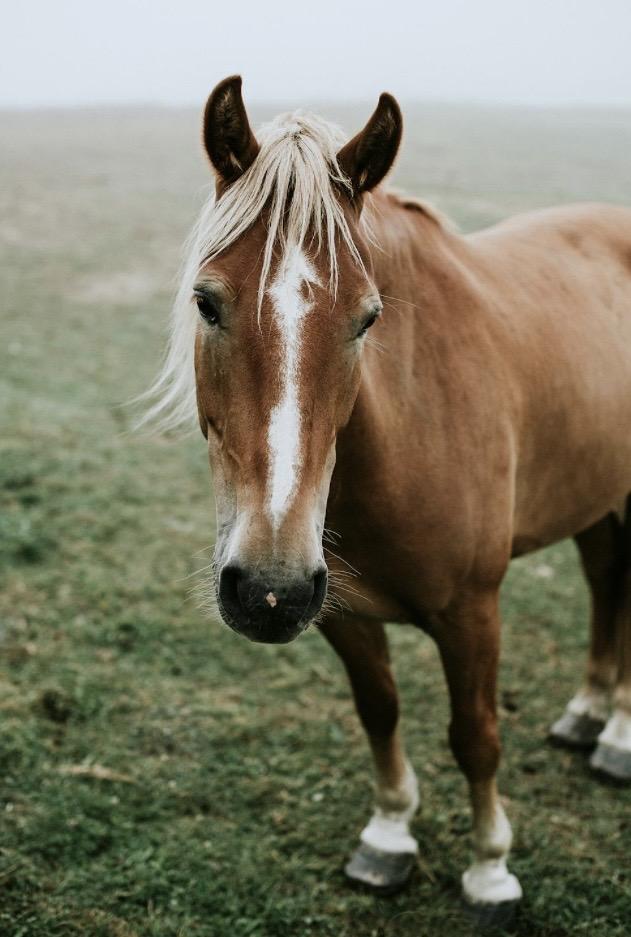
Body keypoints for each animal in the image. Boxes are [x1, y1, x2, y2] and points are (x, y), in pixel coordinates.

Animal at [146, 75, 631, 919]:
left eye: (367, 317)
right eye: (206, 301)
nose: (267, 586)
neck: (407, 431)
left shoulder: (472, 608)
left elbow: (474, 734)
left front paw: (490, 868)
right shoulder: (339, 609)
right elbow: (380, 710)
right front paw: (389, 834)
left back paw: (618, 736)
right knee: (605, 579)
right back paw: (586, 711)